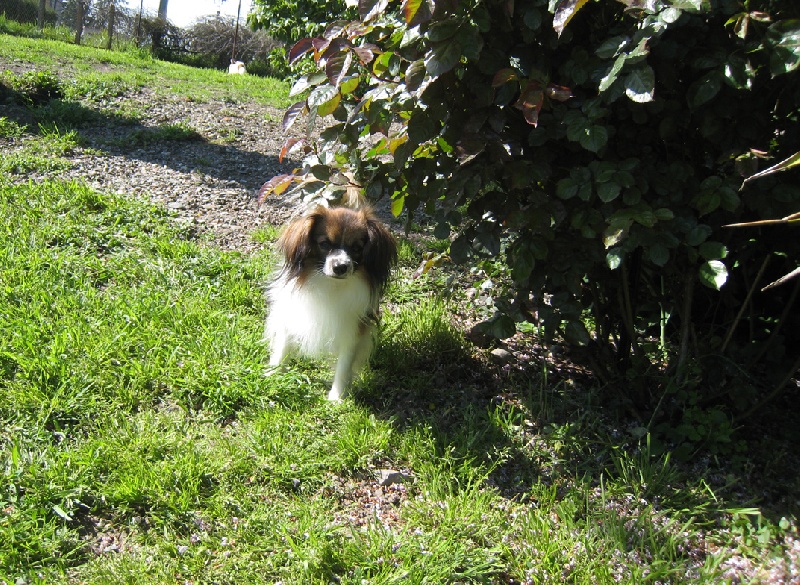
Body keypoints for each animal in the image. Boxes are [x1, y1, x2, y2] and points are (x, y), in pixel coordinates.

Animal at [264, 203, 398, 400]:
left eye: (357, 248)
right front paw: (272, 375)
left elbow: (344, 365)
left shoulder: (353, 329)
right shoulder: (293, 314)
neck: (330, 284)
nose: (340, 267)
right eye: (325, 244)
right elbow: (282, 346)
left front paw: (336, 398)